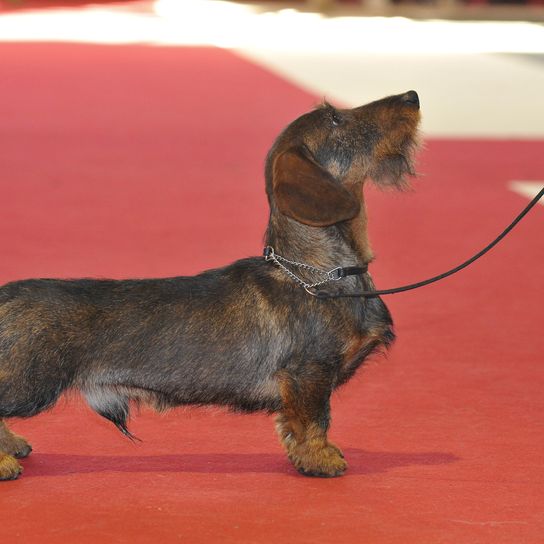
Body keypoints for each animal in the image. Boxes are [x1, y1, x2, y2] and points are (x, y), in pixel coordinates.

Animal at [0, 90, 420, 480]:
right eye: (335, 119)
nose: (412, 97)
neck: (316, 272)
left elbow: (293, 425)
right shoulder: (309, 374)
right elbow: (315, 421)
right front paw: (322, 460)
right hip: (31, 385)